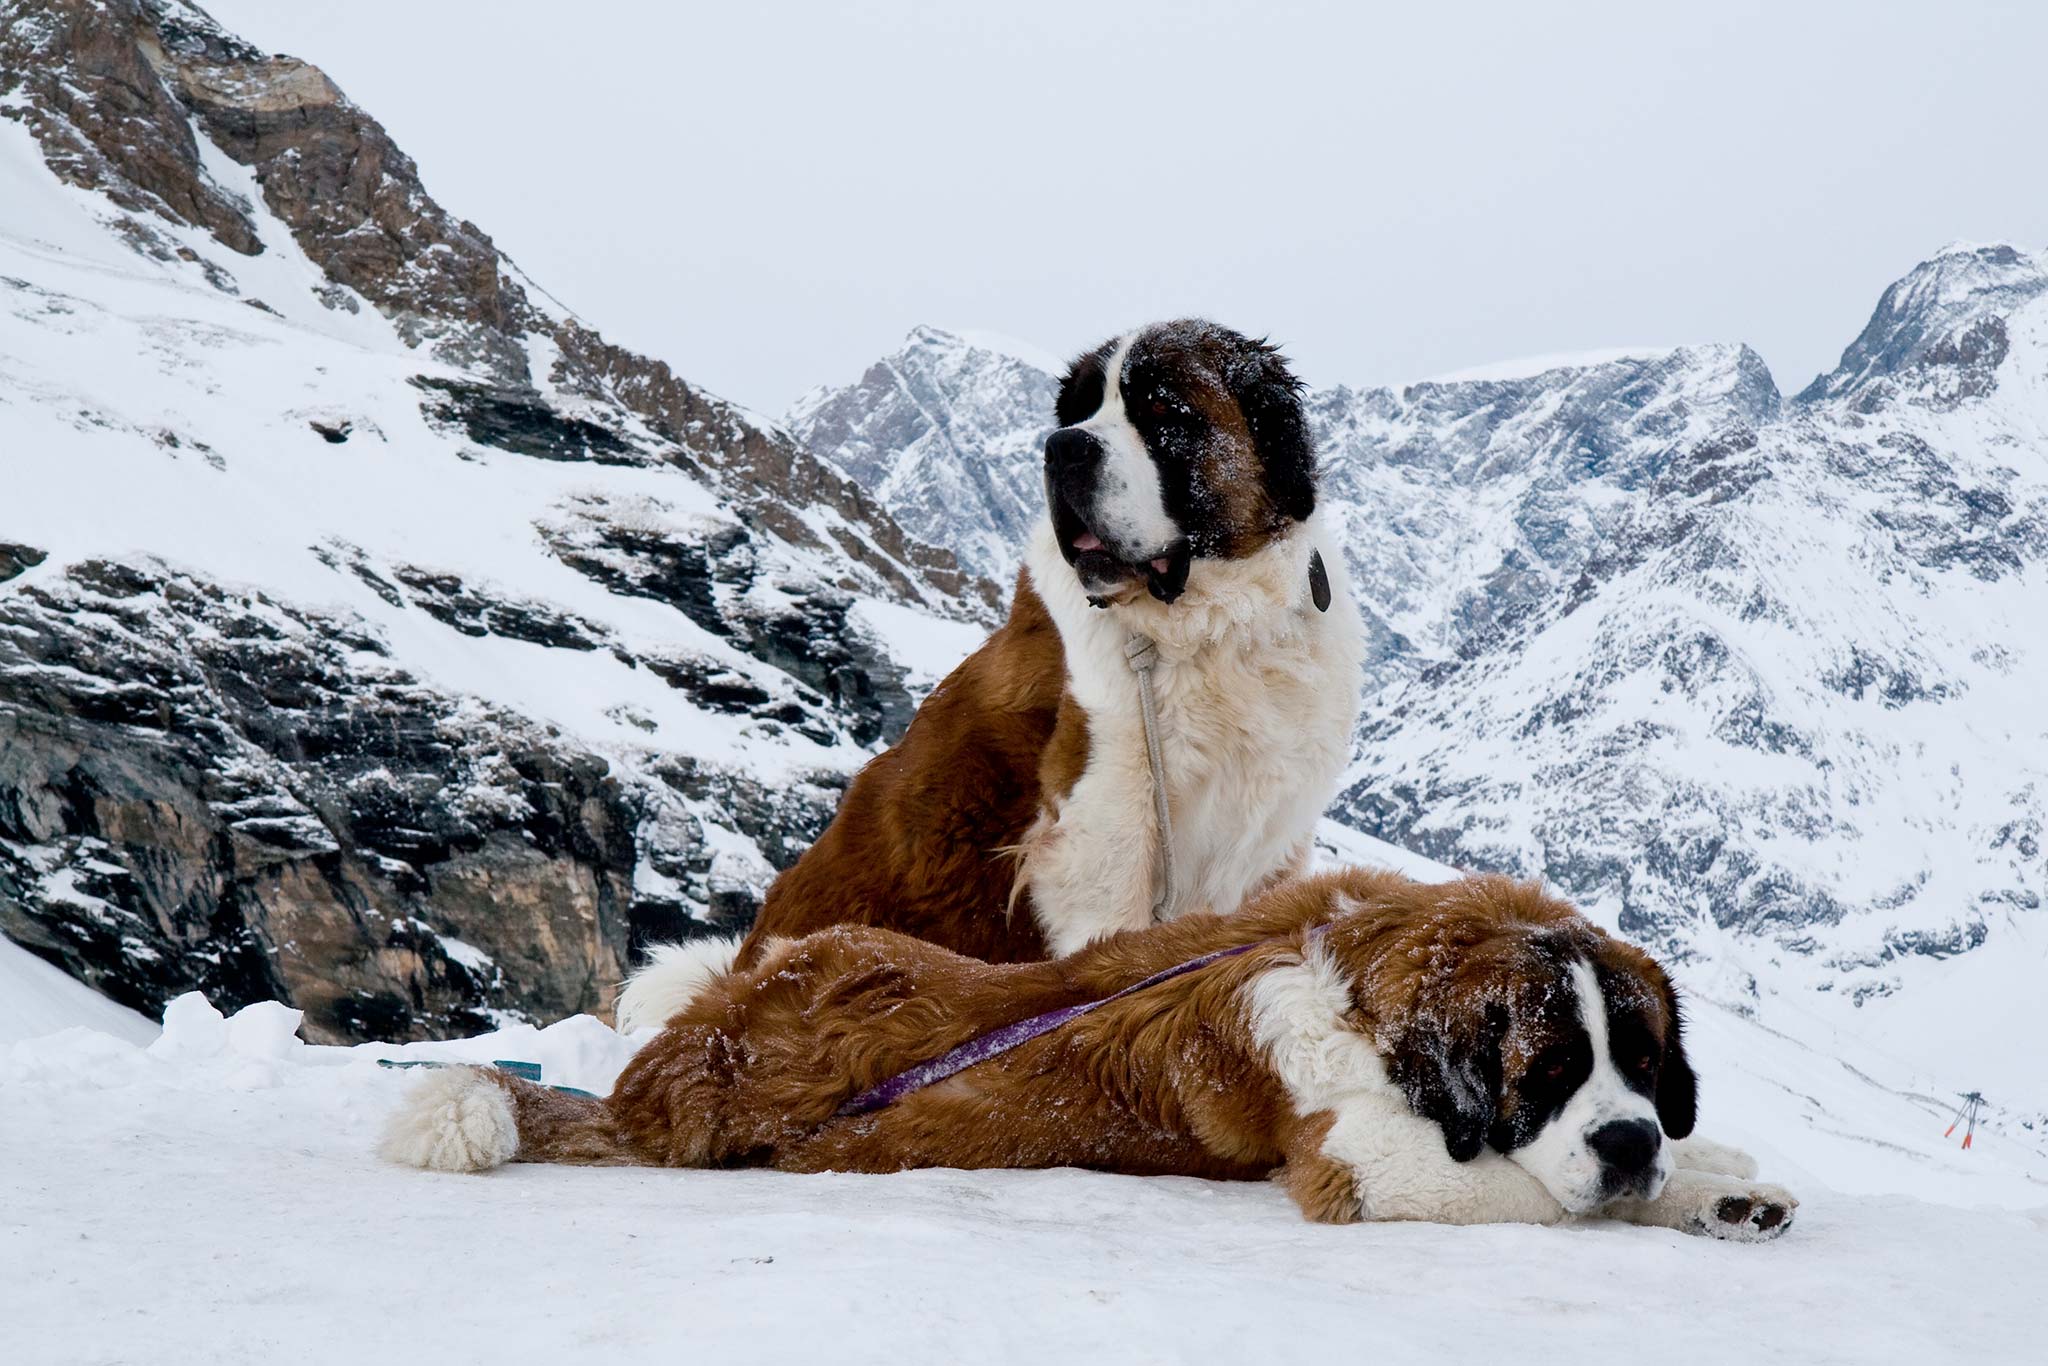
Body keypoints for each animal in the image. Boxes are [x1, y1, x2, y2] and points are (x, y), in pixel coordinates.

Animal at [380, 872, 1794, 1245]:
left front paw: (1721, 1181)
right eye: (1543, 1071)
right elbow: (1527, 1188)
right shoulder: (1363, 1157)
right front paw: (1673, 1186)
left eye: (1642, 1064)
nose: (1630, 1136)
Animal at [614, 317, 1368, 1023]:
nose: (1063, 447)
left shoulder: (1272, 842)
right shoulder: (1101, 835)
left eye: (1162, 411)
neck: (1216, 625)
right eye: (1075, 412)